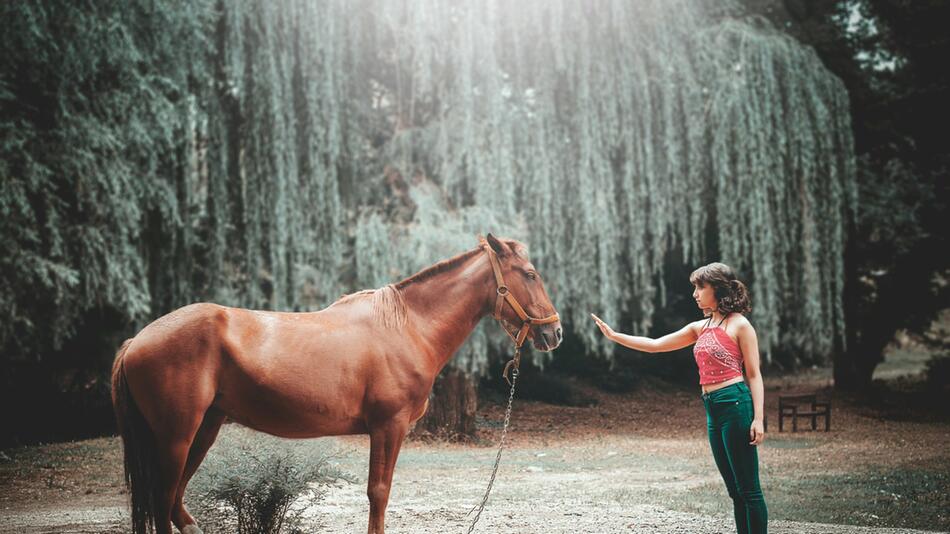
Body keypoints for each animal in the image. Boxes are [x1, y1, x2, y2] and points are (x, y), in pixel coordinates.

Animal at [109, 234, 564, 534]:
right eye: (530, 274)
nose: (554, 333)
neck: (407, 327)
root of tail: (136, 341)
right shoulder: (388, 427)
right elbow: (378, 493)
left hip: (204, 429)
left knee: (174, 503)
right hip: (176, 436)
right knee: (164, 501)